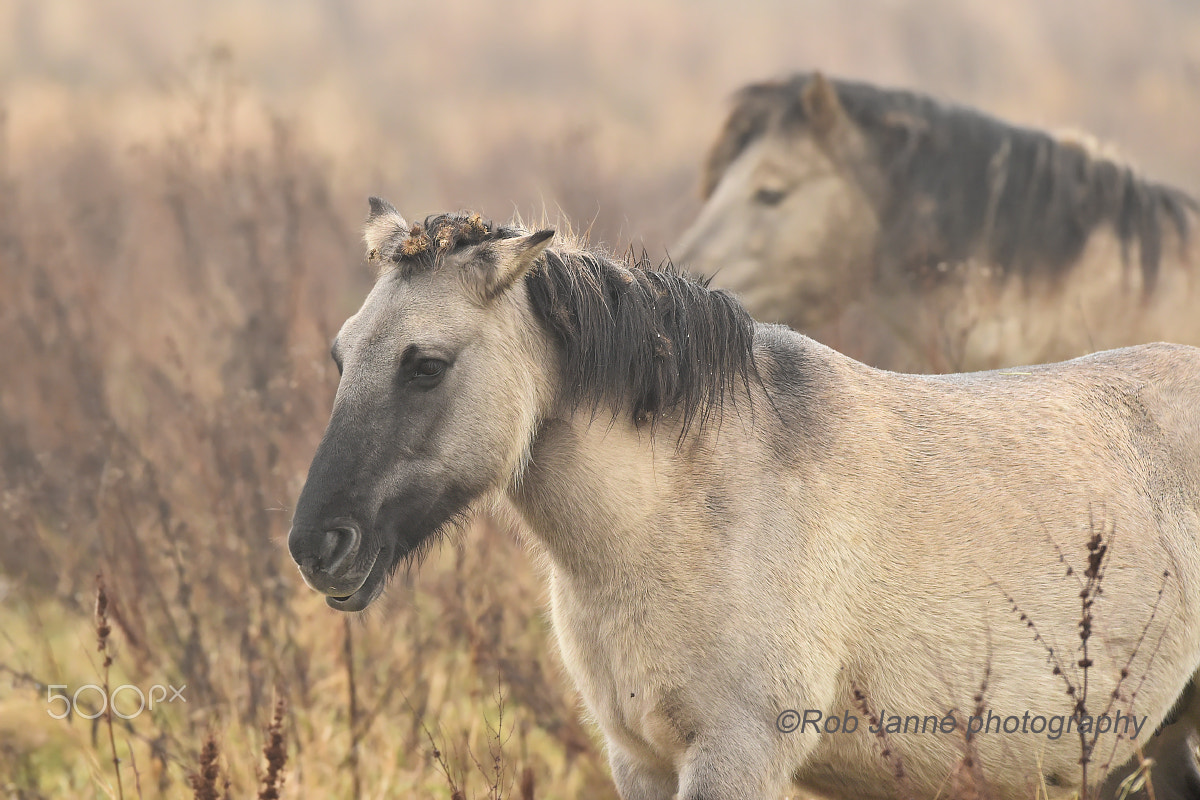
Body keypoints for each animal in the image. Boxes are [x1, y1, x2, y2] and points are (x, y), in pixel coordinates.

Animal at [288, 199, 1200, 800]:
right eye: (340, 355)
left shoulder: (736, 755)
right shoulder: (640, 760)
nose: (317, 546)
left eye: (426, 365)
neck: (677, 512)